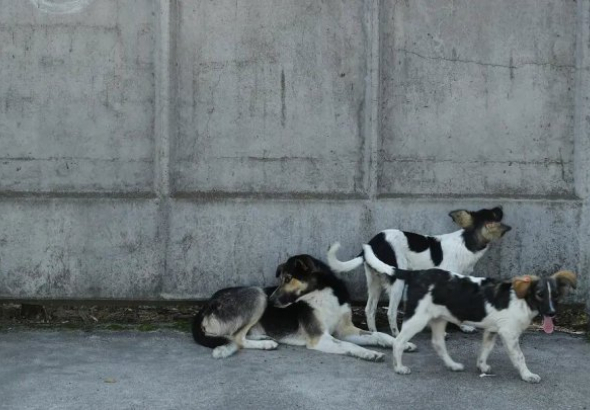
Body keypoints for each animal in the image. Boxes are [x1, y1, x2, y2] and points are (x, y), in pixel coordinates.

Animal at [192, 255, 418, 360]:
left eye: (288, 279)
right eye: (281, 279)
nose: (272, 300)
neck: (321, 294)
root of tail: (204, 307)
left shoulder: (345, 330)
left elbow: (379, 335)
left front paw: (402, 343)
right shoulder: (320, 338)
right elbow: (350, 345)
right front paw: (368, 353)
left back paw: (264, 336)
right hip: (257, 294)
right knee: (237, 339)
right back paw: (266, 344)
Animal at [328, 207, 512, 334]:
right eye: (494, 215)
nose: (501, 207)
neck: (466, 243)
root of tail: (374, 241)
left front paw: (463, 327)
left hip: (375, 282)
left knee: (370, 309)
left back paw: (374, 333)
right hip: (397, 282)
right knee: (391, 313)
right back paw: (396, 335)